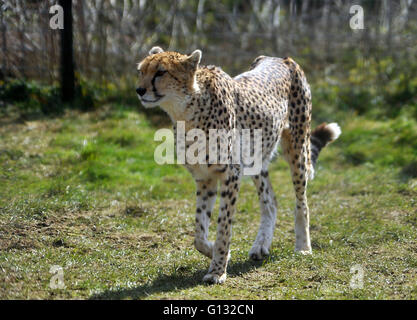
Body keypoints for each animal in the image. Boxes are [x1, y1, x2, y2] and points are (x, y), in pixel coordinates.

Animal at [135, 46, 340, 284]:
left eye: (161, 72)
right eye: (141, 71)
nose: (139, 90)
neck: (187, 110)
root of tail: (281, 58)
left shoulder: (231, 174)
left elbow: (223, 226)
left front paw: (218, 270)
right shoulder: (205, 177)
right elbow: (199, 233)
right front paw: (216, 252)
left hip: (297, 148)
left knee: (301, 202)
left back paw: (303, 247)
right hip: (255, 159)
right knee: (270, 201)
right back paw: (261, 245)